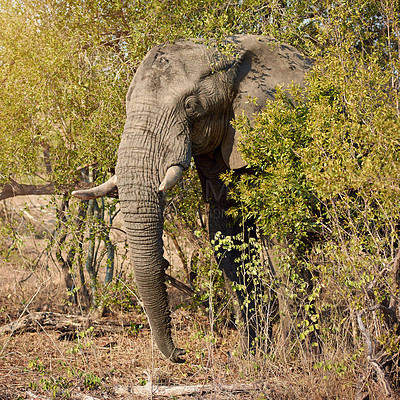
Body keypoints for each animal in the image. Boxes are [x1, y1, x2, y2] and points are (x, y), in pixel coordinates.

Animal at [72, 35, 312, 362]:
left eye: (191, 107)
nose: (181, 353)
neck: (228, 53)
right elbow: (225, 234)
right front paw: (252, 358)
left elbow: (283, 234)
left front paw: (296, 359)